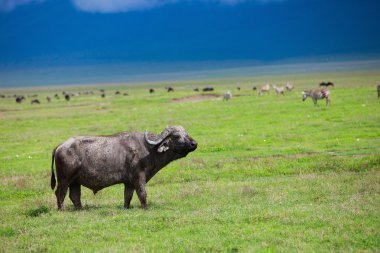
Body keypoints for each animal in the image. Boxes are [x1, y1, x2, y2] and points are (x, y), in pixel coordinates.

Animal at [50, 125, 197, 211]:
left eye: (186, 133)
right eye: (177, 136)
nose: (194, 143)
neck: (149, 149)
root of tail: (60, 146)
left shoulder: (129, 183)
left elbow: (128, 196)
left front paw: (126, 208)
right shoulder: (139, 178)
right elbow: (142, 194)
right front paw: (146, 208)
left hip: (75, 182)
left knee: (74, 196)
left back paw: (81, 209)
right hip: (64, 180)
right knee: (60, 193)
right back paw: (61, 210)